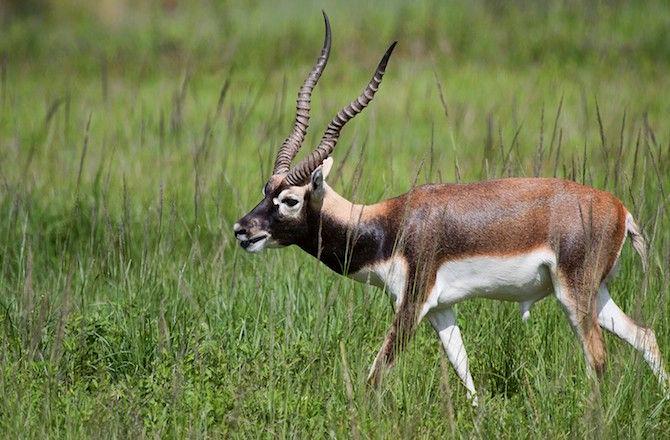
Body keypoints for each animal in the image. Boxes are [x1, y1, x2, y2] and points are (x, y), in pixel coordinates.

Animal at [234, 12, 668, 406]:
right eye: (265, 190)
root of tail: (620, 209)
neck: (387, 225)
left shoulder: (412, 302)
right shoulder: (441, 309)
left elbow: (377, 373)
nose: (242, 229)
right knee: (645, 336)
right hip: (597, 293)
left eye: (290, 200)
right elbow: (464, 370)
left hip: (573, 294)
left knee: (598, 357)